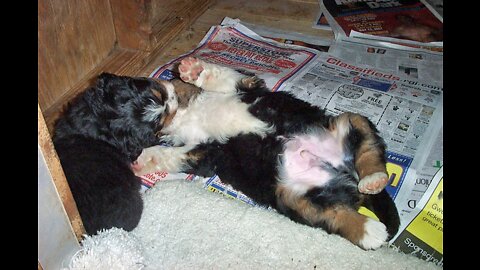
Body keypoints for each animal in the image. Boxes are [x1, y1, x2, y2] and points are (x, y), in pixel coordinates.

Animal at [132, 58, 402, 250]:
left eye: (161, 93)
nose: (156, 108)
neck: (189, 113)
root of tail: (348, 178)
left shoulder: (246, 86)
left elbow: (222, 77)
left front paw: (193, 70)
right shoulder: (204, 151)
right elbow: (166, 154)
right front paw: (140, 159)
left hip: (348, 121)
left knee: (369, 151)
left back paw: (374, 183)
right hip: (294, 196)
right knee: (334, 215)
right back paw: (370, 230)